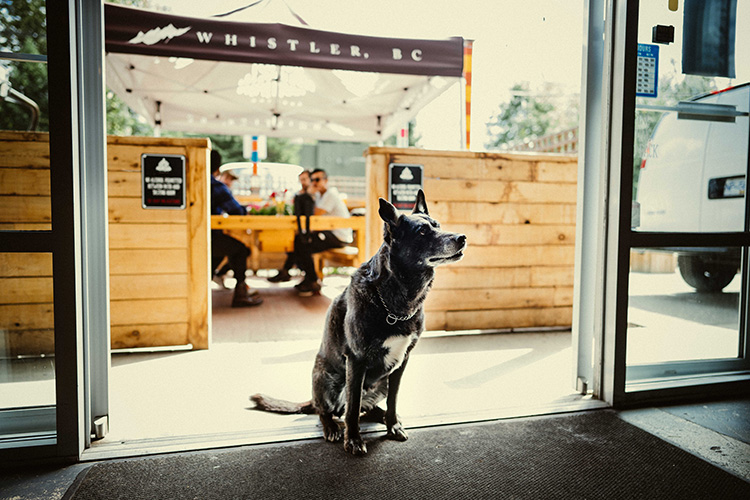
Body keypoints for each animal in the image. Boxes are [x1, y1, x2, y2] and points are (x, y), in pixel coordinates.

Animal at [250, 189, 468, 456]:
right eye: (422, 232)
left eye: (438, 225)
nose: (462, 237)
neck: (395, 301)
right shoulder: (356, 360)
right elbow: (352, 409)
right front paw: (353, 439)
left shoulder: (402, 362)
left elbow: (393, 399)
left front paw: (393, 424)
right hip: (326, 379)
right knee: (329, 411)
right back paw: (332, 427)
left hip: (381, 382)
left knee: (368, 408)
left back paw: (384, 416)